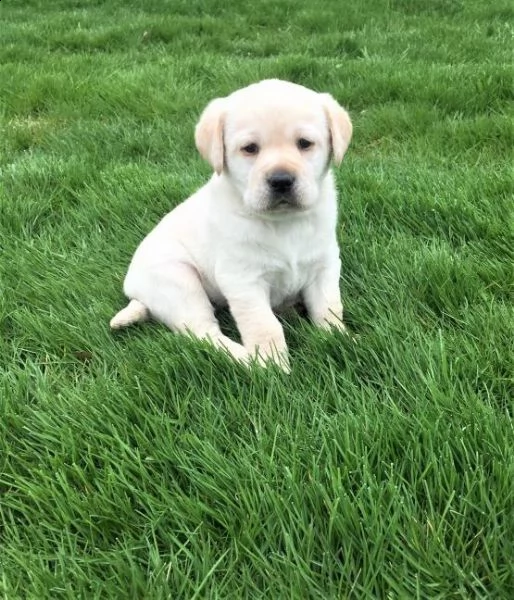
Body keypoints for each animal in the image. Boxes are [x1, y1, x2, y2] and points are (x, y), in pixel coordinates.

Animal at [109, 79, 350, 370]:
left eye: (305, 143)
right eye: (250, 148)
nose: (281, 180)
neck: (282, 222)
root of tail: (133, 287)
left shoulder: (324, 264)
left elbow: (329, 308)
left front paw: (340, 340)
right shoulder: (243, 280)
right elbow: (265, 325)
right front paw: (273, 365)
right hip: (179, 282)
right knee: (204, 333)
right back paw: (247, 359)